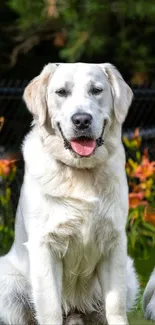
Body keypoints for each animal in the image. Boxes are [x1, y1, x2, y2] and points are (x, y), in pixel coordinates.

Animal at [0, 63, 139, 324]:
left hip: (127, 273)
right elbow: (51, 307)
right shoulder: (45, 247)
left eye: (96, 90)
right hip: (8, 283)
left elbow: (115, 306)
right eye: (61, 92)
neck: (80, 173)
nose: (82, 120)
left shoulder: (114, 245)